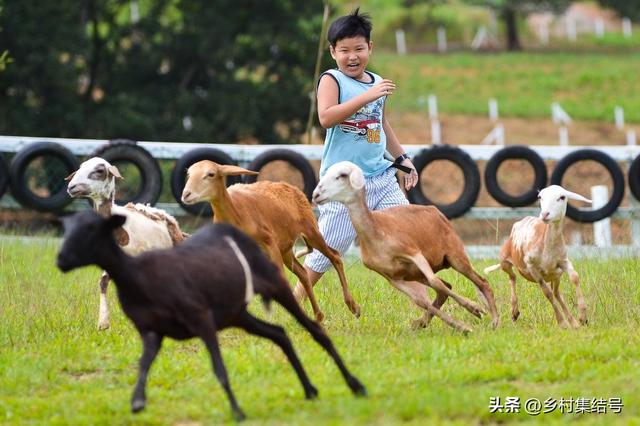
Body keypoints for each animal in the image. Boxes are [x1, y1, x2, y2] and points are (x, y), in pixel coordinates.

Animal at [57, 211, 368, 422]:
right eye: (67, 230)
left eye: (91, 229)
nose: (60, 260)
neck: (137, 276)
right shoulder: (152, 332)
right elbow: (143, 365)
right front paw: (137, 403)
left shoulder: (201, 320)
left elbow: (219, 369)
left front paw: (237, 411)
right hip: (236, 314)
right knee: (279, 333)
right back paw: (310, 390)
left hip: (275, 286)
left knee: (315, 330)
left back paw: (355, 385)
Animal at [180, 161, 360, 322]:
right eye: (188, 174)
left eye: (211, 174)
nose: (186, 194)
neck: (237, 214)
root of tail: (294, 188)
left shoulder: (269, 241)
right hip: (286, 249)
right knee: (303, 273)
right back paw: (318, 316)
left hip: (310, 231)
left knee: (335, 256)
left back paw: (353, 307)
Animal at [312, 161, 498, 334]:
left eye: (342, 175)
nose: (316, 194)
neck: (376, 233)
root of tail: (436, 211)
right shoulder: (392, 277)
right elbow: (421, 300)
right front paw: (462, 326)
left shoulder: (413, 253)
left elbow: (435, 282)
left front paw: (474, 308)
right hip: (415, 274)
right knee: (446, 289)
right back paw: (423, 322)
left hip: (455, 256)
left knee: (481, 282)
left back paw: (495, 321)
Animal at [484, 185, 592, 328]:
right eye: (540, 197)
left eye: (562, 197)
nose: (545, 214)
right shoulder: (532, 267)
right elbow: (547, 293)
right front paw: (562, 323)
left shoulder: (563, 261)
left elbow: (575, 277)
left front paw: (582, 317)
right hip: (504, 260)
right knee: (512, 277)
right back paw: (514, 311)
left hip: (556, 274)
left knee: (557, 293)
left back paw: (573, 322)